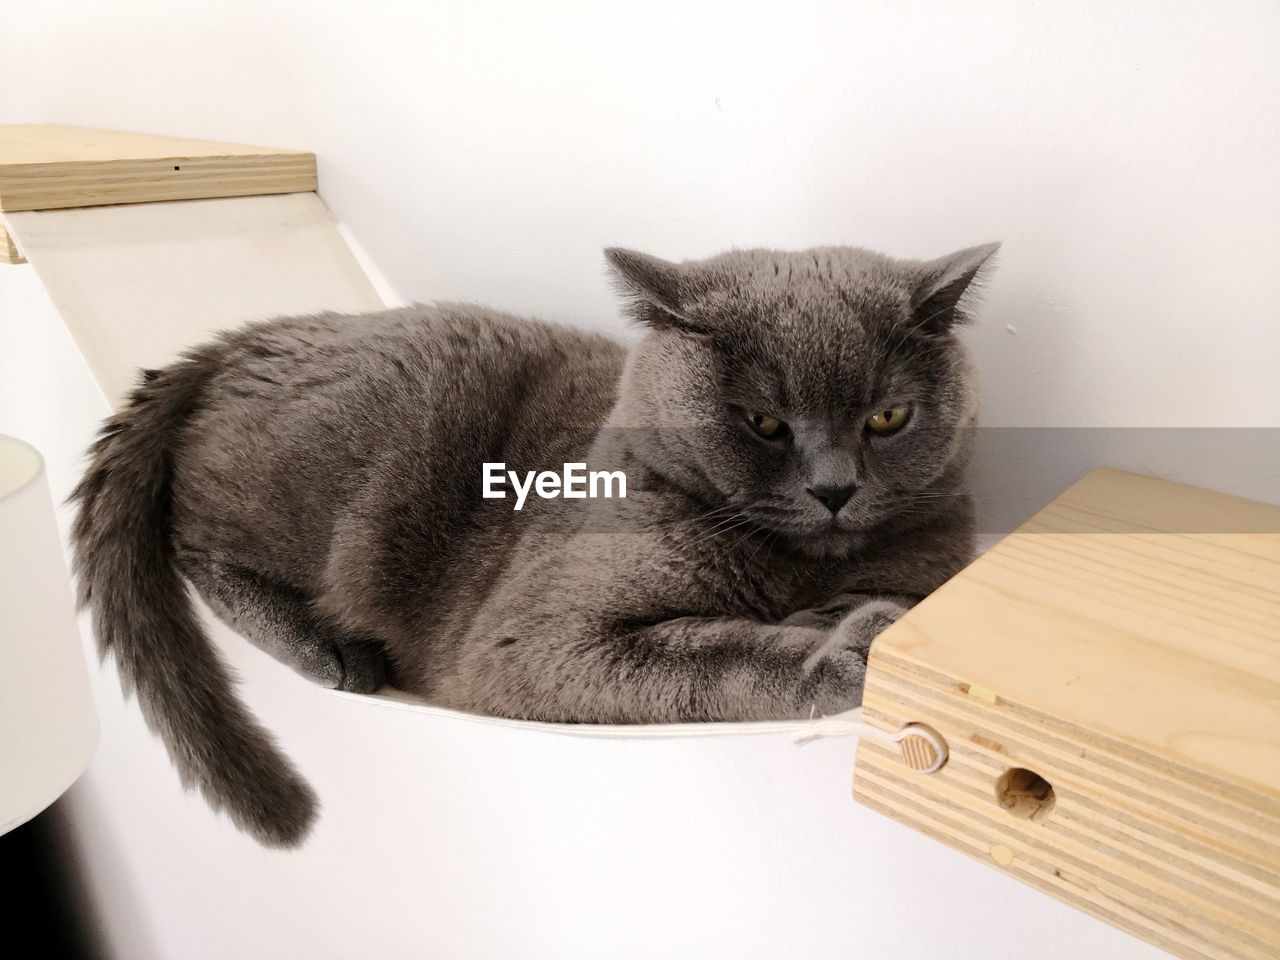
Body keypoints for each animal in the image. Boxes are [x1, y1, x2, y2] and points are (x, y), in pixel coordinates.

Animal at [70, 241, 998, 849]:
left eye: (888, 416)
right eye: (763, 422)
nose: (834, 489)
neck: (793, 564)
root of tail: (253, 334)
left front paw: (852, 617)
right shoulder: (533, 636)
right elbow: (721, 655)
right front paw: (838, 652)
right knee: (192, 539)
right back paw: (329, 650)